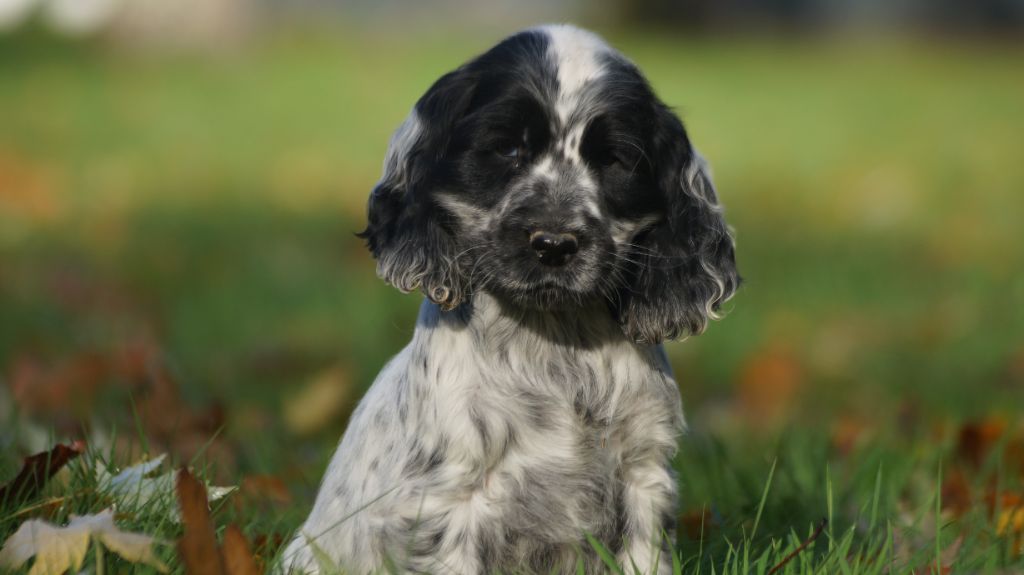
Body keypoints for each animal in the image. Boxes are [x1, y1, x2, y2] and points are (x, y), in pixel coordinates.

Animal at [284, 24, 741, 572]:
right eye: (506, 150)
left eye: (614, 161)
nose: (554, 243)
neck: (557, 344)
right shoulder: (448, 499)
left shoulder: (643, 474)